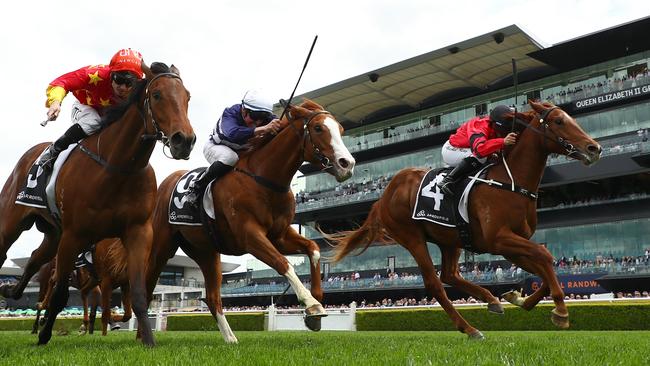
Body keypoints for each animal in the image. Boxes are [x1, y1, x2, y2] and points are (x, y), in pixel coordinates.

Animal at [0, 60, 194, 346]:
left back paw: (11, 290)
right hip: (13, 222)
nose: (185, 140)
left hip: (53, 234)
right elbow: (60, 295)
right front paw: (45, 336)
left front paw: (148, 340)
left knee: (35, 258)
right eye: (157, 95)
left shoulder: (138, 232)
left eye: (187, 97)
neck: (118, 168)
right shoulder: (75, 235)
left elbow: (139, 294)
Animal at [147, 98, 354, 342]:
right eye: (319, 128)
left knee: (212, 297)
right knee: (145, 283)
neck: (264, 179)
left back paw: (231, 339)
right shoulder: (249, 236)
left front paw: (316, 306)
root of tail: (167, 181)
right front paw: (311, 305)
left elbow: (313, 249)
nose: (347, 164)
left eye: (341, 129)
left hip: (206, 252)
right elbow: (283, 263)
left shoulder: (280, 235)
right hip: (161, 246)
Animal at [332, 101, 600, 340]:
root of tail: (385, 196)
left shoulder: (510, 243)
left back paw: (491, 300)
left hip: (450, 239)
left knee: (449, 275)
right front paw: (561, 312)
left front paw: (519, 298)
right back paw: (470, 329)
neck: (511, 182)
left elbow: (543, 269)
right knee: (435, 284)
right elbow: (545, 257)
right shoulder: (499, 239)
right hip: (412, 237)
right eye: (559, 121)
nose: (594, 148)